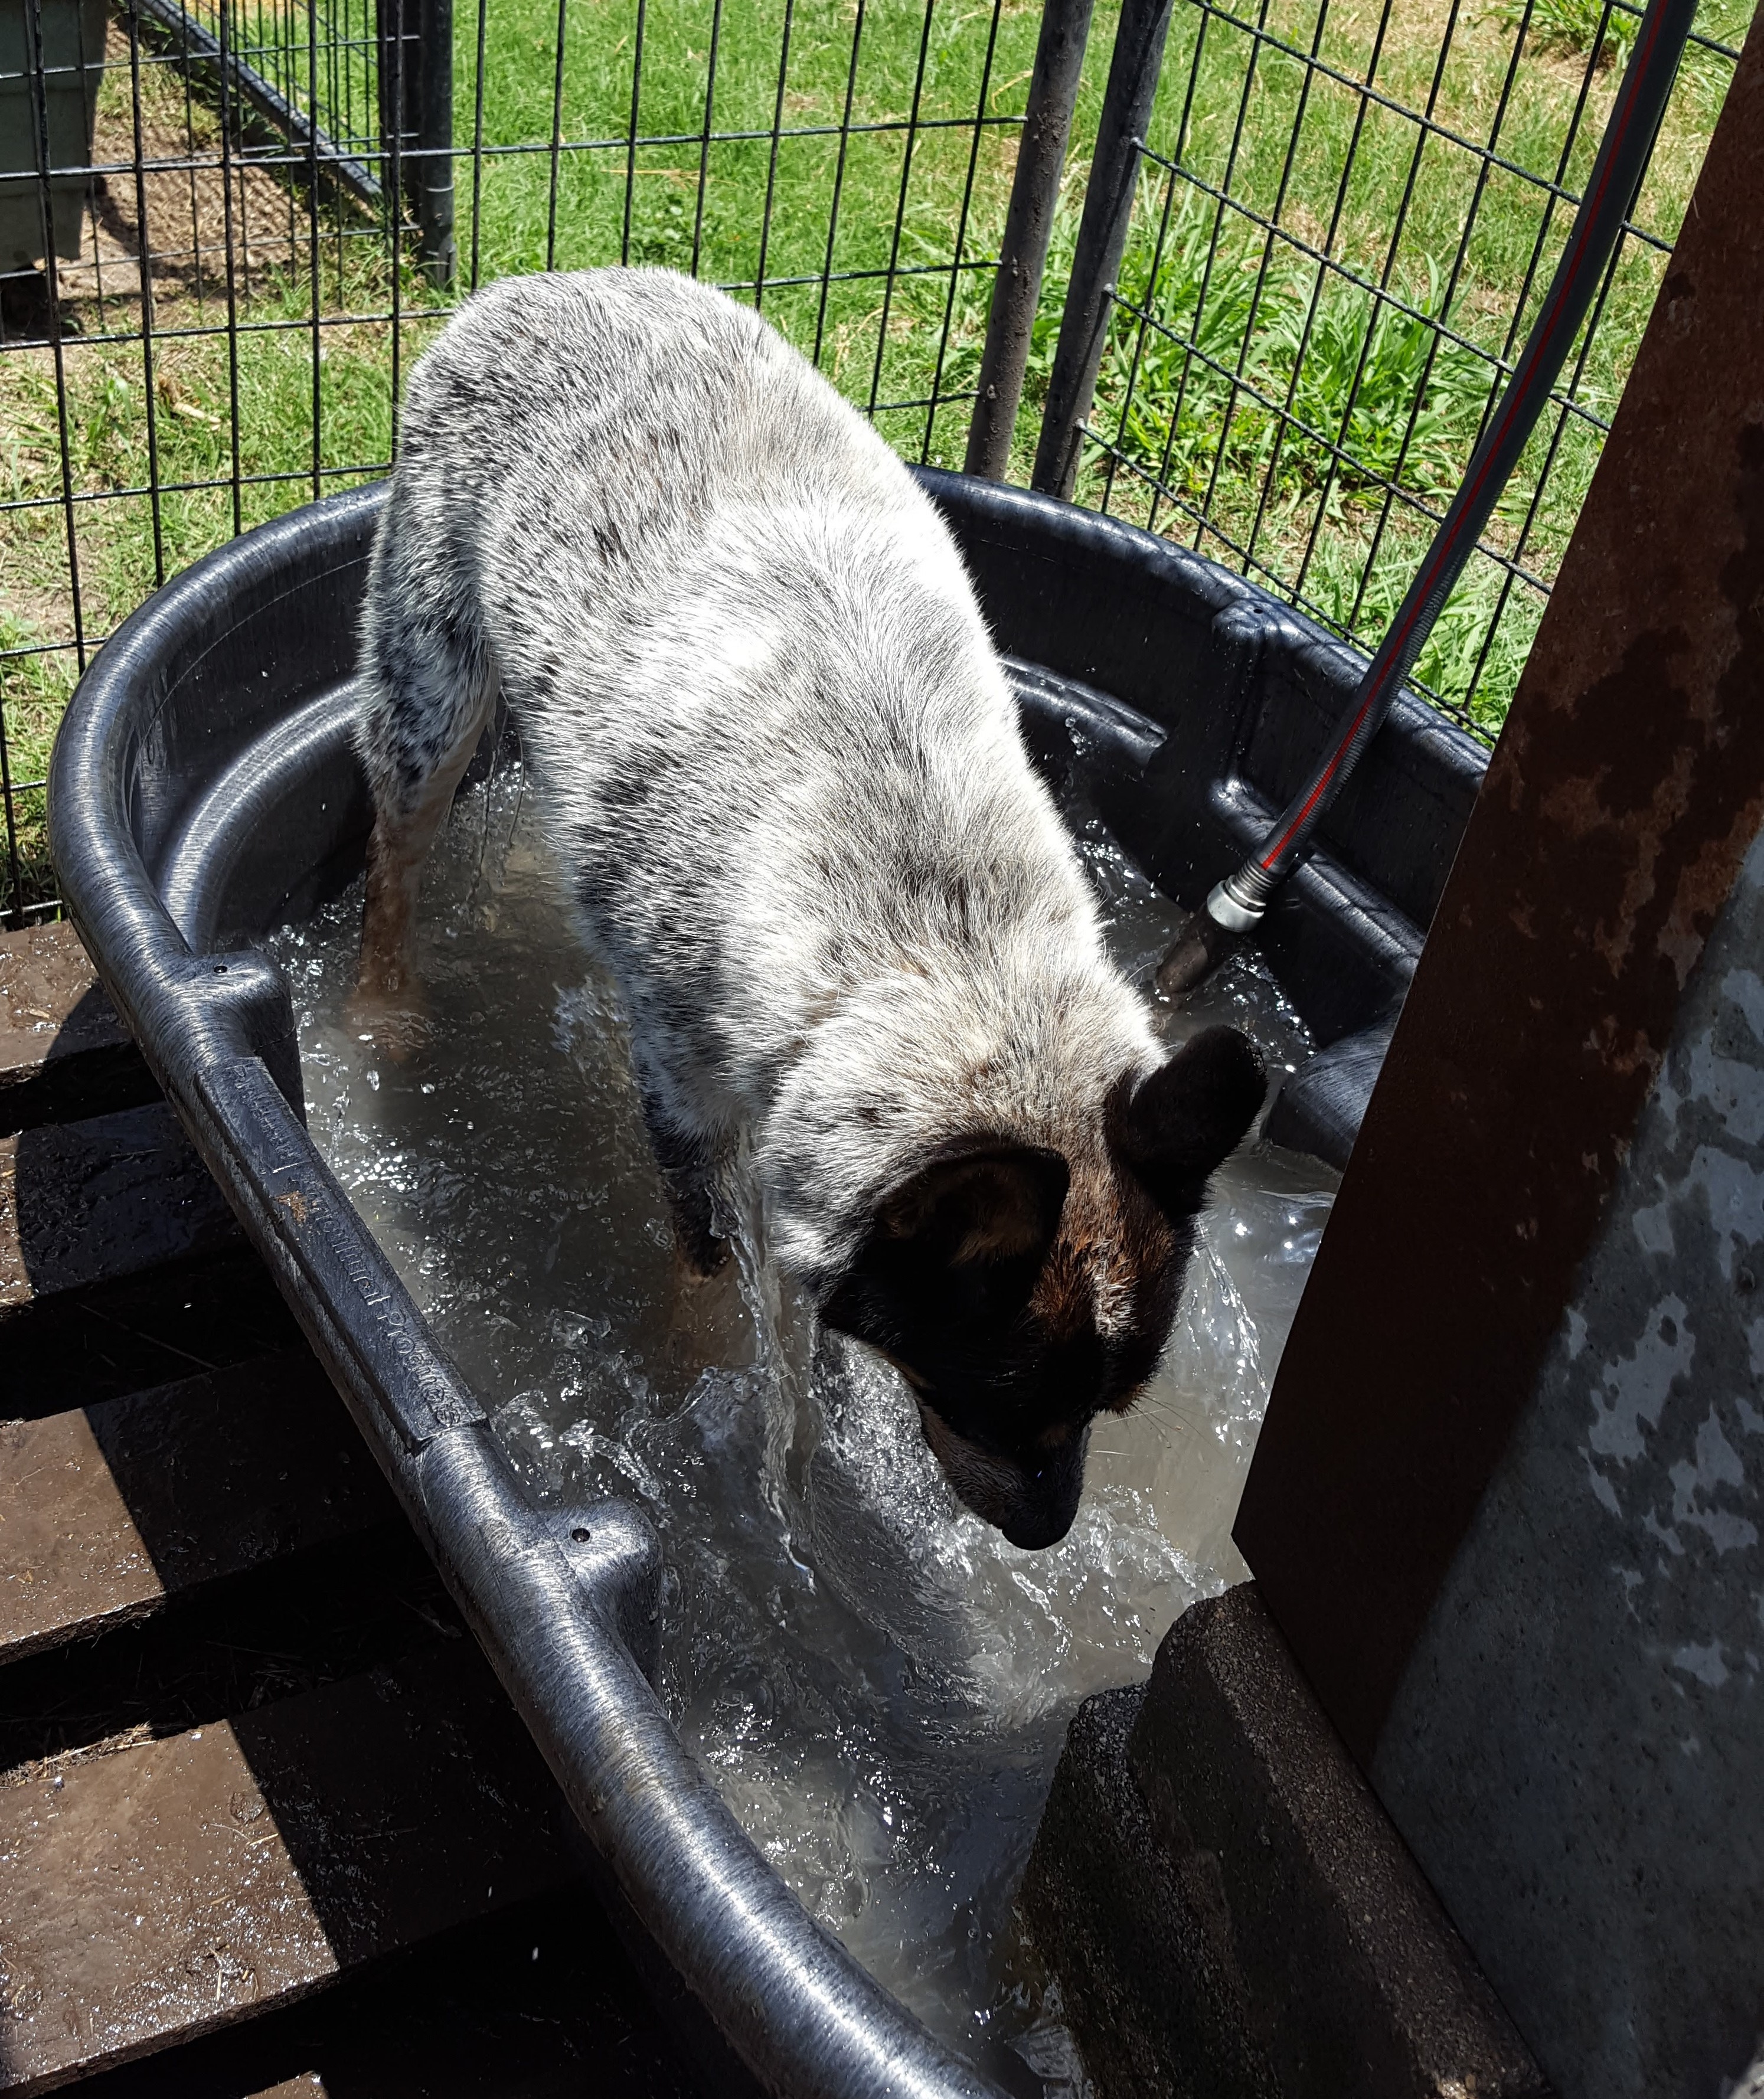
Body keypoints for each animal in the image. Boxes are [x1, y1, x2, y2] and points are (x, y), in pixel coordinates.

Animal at [351, 266, 1260, 1545]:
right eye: (994, 1397)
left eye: (1108, 1407)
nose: (1044, 1531)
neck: (936, 941)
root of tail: (541, 281)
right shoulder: (681, 1083)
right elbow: (704, 1263)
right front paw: (706, 1376)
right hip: (431, 673)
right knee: (394, 848)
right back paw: (384, 1000)